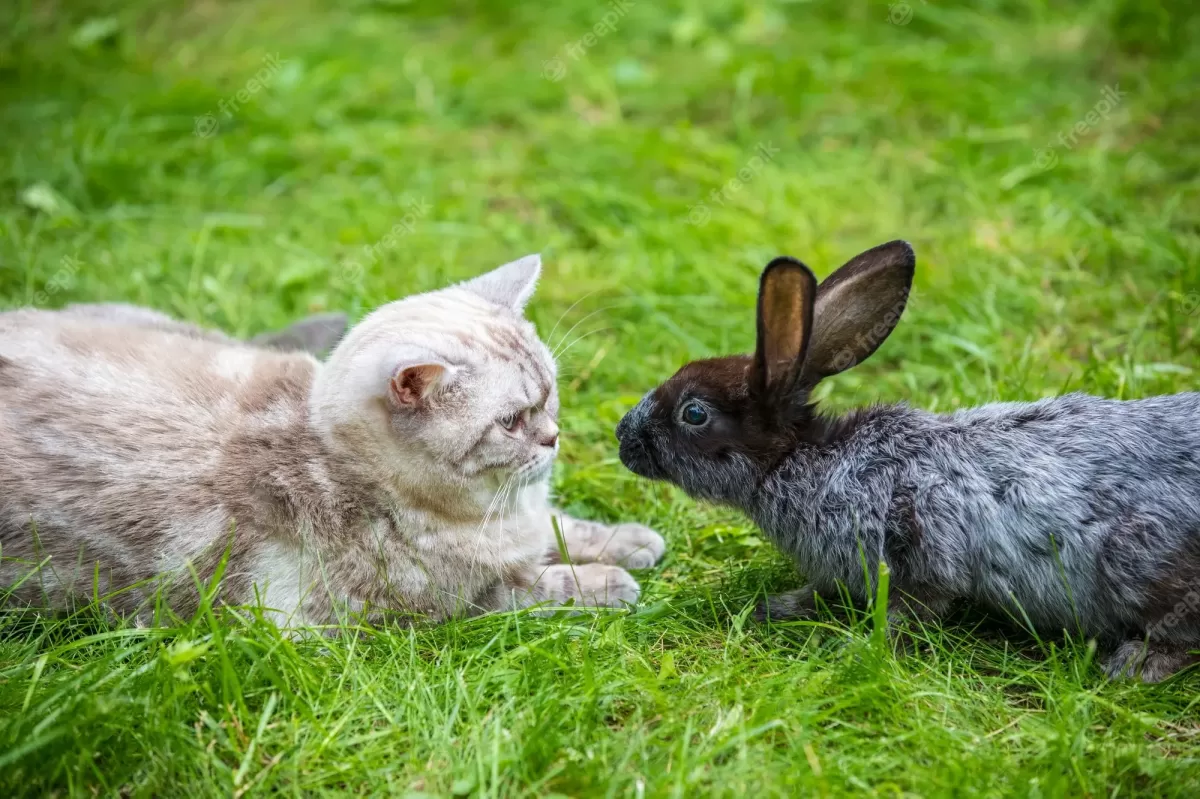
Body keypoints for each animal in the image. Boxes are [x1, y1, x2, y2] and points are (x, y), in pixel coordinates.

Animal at [0, 255, 667, 628]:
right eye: (509, 421)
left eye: (550, 391)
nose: (554, 438)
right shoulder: (432, 611)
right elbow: (534, 588)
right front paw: (607, 583)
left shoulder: (529, 522)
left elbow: (564, 527)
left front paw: (628, 542)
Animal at [614, 239, 1200, 681]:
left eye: (694, 413)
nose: (623, 438)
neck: (800, 461)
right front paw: (778, 606)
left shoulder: (918, 550)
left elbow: (910, 611)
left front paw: (856, 651)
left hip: (1139, 561)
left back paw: (1133, 665)